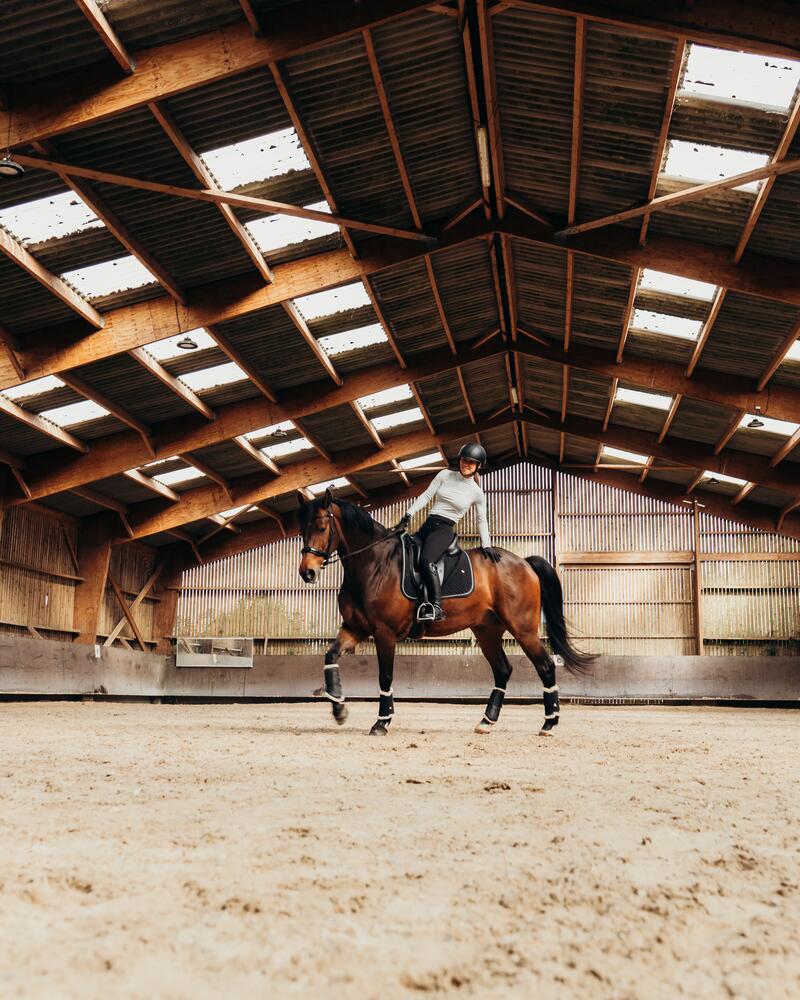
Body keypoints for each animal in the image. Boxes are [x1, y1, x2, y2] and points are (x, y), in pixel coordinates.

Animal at [297, 489, 593, 736]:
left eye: (322, 527)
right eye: (302, 529)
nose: (307, 573)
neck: (373, 564)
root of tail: (524, 562)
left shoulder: (384, 633)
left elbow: (385, 676)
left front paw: (382, 722)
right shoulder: (354, 628)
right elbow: (330, 657)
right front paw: (339, 709)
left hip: (523, 629)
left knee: (545, 666)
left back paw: (549, 724)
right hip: (487, 631)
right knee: (502, 670)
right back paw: (487, 721)